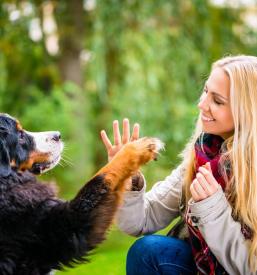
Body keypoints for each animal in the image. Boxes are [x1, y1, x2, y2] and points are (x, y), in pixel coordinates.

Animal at [0, 113, 162, 274]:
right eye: (20, 136)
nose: (58, 135)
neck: (6, 183)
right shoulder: (67, 226)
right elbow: (102, 176)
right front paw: (142, 146)